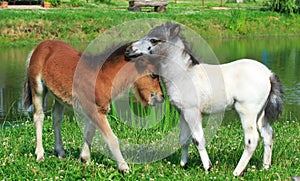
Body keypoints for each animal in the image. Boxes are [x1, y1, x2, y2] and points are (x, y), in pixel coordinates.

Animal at [23, 40, 164, 173]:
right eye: (153, 75)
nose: (161, 97)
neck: (103, 76)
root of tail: (39, 46)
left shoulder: (96, 108)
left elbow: (89, 132)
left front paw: (84, 158)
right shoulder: (95, 110)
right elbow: (111, 139)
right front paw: (124, 168)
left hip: (59, 96)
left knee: (56, 118)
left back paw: (61, 152)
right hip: (38, 88)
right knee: (39, 117)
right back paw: (40, 155)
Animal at [125, 21, 284, 176]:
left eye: (154, 40)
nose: (128, 50)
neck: (183, 75)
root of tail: (269, 74)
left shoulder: (193, 112)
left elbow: (198, 139)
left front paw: (208, 167)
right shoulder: (182, 112)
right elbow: (184, 139)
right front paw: (183, 165)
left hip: (247, 111)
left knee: (252, 140)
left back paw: (237, 172)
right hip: (260, 113)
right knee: (268, 134)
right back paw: (265, 167)